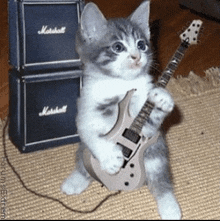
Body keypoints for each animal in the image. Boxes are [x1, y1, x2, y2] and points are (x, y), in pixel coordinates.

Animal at [61, 0, 181, 219]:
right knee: (82, 162)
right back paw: (75, 181)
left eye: (141, 44)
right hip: (83, 150)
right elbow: (90, 132)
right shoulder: (86, 109)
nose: (136, 56)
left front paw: (162, 98)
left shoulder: (148, 129)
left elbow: (151, 120)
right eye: (118, 47)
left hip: (156, 153)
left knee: (160, 178)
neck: (120, 84)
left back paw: (169, 206)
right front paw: (110, 157)